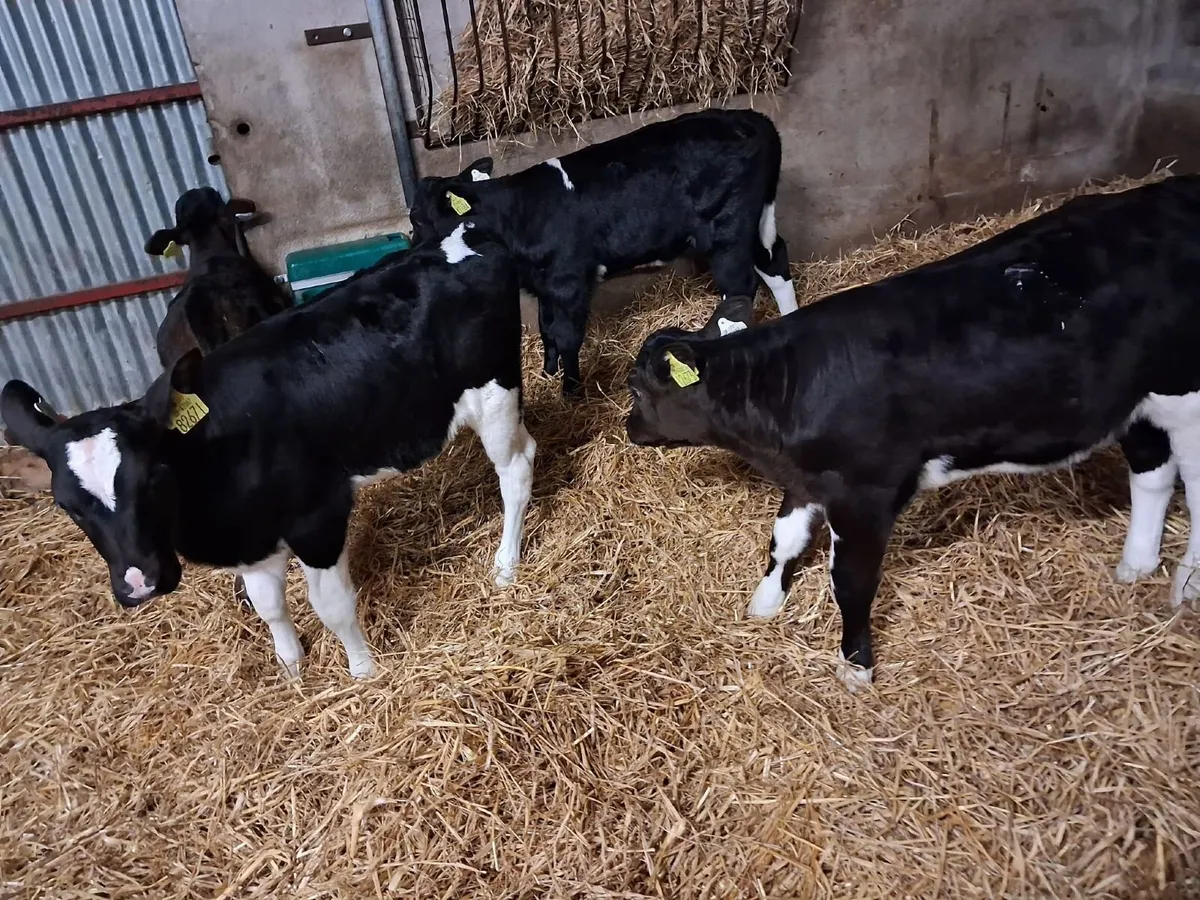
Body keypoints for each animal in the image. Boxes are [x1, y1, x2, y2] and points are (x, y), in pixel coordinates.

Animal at [1, 222, 536, 680]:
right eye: (67, 506)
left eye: (152, 477)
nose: (140, 583)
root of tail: (465, 232)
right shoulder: (252, 542)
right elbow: (268, 605)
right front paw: (292, 668)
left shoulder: (317, 518)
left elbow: (333, 608)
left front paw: (363, 672)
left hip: (495, 391)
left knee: (515, 468)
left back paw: (505, 565)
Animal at [408, 108, 797, 397]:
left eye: (417, 217)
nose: (411, 251)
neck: (518, 214)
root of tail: (751, 119)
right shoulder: (545, 284)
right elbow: (546, 328)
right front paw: (548, 371)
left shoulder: (570, 282)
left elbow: (567, 335)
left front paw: (570, 390)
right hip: (757, 221)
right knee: (774, 261)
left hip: (728, 232)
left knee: (740, 288)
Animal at [624, 176, 1200, 691]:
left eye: (635, 389)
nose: (629, 429)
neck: (786, 386)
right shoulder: (810, 476)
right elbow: (784, 538)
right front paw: (765, 603)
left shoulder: (866, 493)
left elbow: (850, 582)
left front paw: (856, 668)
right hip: (1136, 402)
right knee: (1153, 472)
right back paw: (1136, 565)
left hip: (1187, 396)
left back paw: (1186, 583)